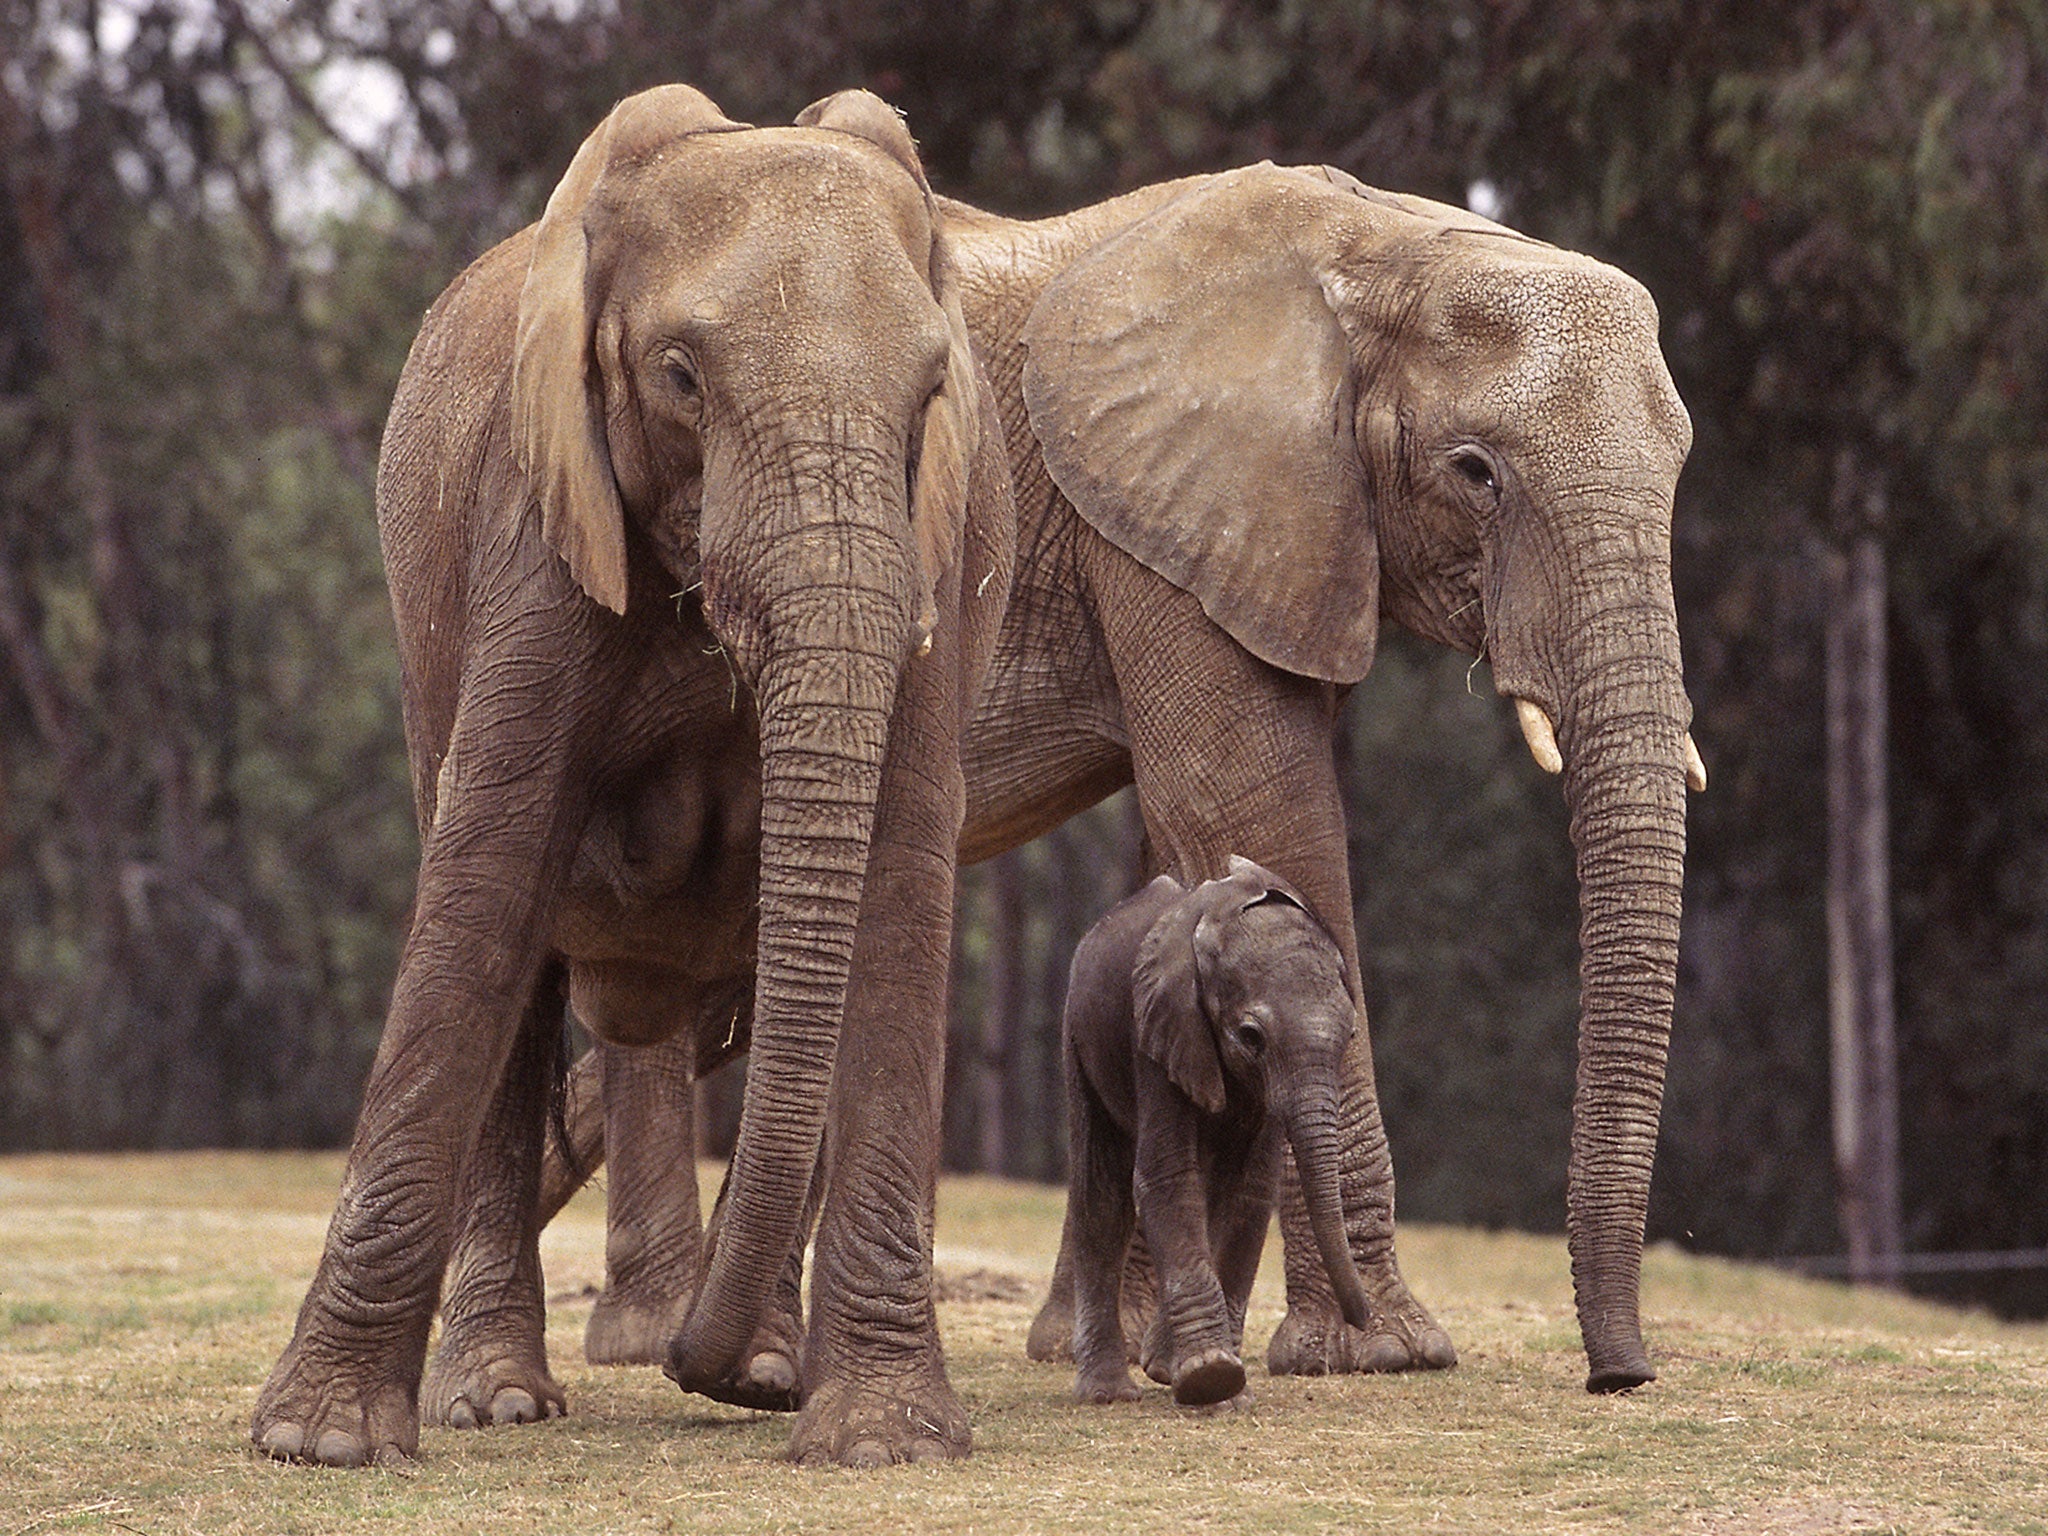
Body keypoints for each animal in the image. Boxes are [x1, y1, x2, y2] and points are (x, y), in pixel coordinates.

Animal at [248, 85, 1015, 1470]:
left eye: (933, 387)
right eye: (679, 378)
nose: (692, 1368)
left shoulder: (951, 533)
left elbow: (893, 880)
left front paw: (877, 1441)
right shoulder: (531, 522)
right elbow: (485, 877)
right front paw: (320, 1445)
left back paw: (762, 1364)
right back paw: (501, 1396)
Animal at [1060, 858, 1372, 1409]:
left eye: (1350, 1035)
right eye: (1251, 1036)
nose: (1363, 1318)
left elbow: (1249, 1191)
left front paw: (1211, 1384)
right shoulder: (1157, 1027)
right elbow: (1167, 1178)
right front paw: (1211, 1376)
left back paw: (1159, 1366)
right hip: (1079, 1033)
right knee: (1101, 1195)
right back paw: (1108, 1394)